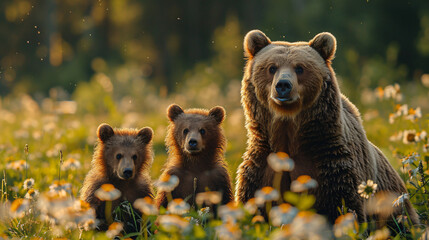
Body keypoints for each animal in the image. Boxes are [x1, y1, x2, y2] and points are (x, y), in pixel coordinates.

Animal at [234, 30, 418, 225]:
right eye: (272, 68)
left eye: (299, 68)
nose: (283, 85)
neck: (289, 133)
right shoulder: (262, 168)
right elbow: (255, 208)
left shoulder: (330, 165)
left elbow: (342, 207)